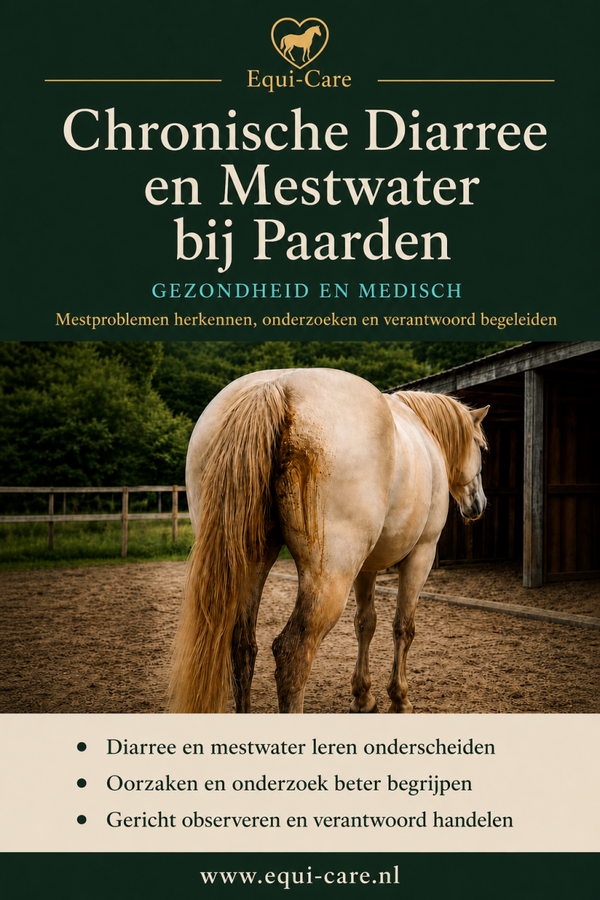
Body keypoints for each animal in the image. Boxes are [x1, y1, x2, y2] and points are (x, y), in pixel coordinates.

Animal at [169, 368, 488, 715]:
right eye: (481, 447)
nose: (478, 504)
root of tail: (275, 386)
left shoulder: (366, 568)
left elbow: (365, 623)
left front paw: (363, 696)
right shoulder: (421, 555)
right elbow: (403, 627)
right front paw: (399, 698)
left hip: (252, 564)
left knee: (242, 647)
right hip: (330, 576)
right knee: (292, 654)